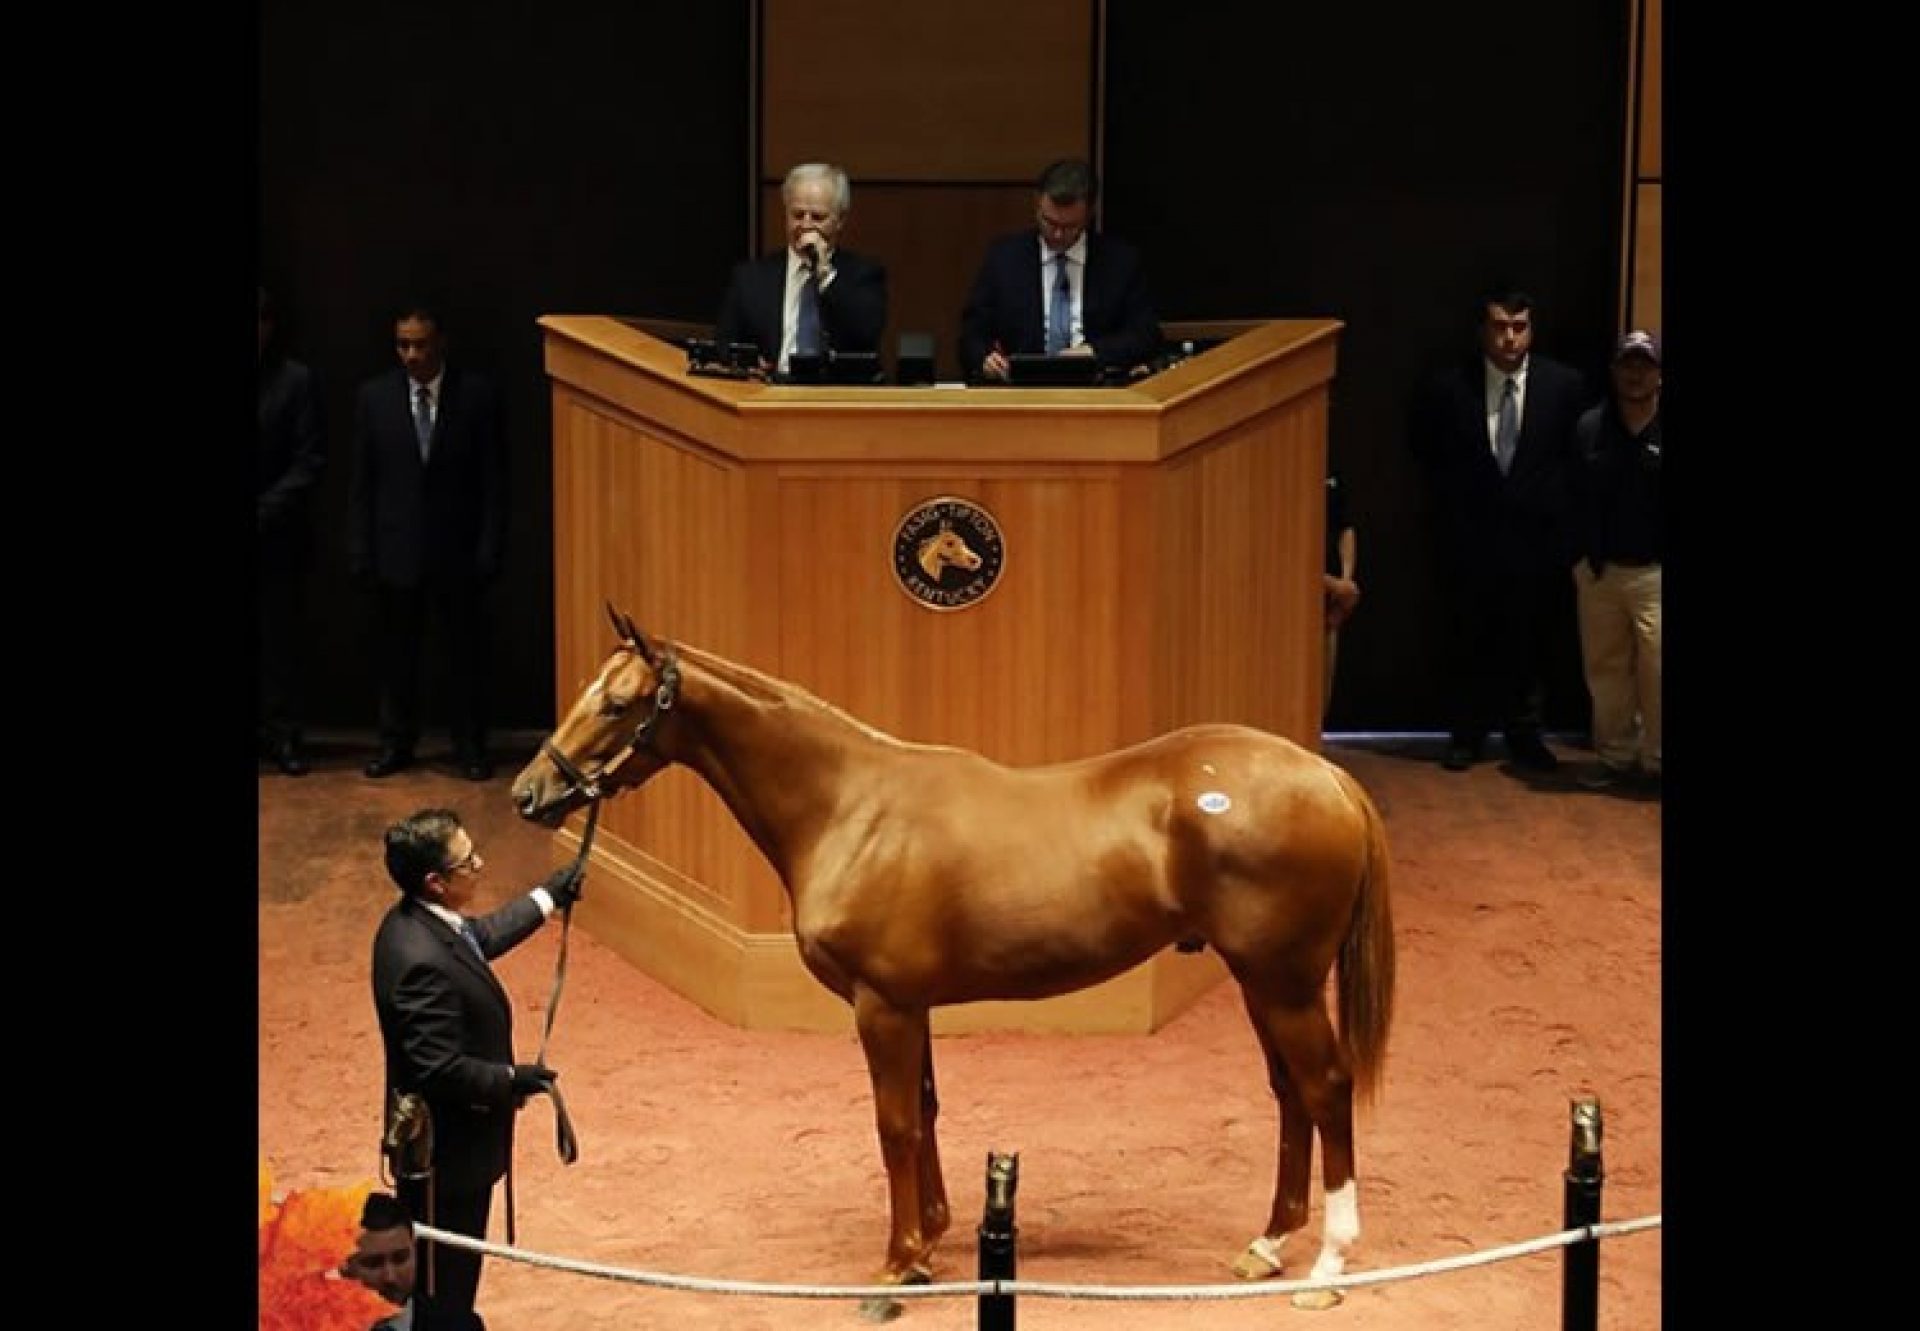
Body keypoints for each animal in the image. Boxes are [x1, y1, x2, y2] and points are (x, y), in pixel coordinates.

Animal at [518, 606, 1397, 1306]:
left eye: (619, 703)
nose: (531, 793)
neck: (848, 806)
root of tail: (1326, 775)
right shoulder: (911, 1003)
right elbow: (929, 1109)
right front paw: (933, 1240)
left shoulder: (882, 1004)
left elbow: (896, 1123)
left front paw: (895, 1266)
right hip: (1262, 981)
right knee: (1289, 1092)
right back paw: (1268, 1246)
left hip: (1283, 982)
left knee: (1325, 1087)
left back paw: (1328, 1266)